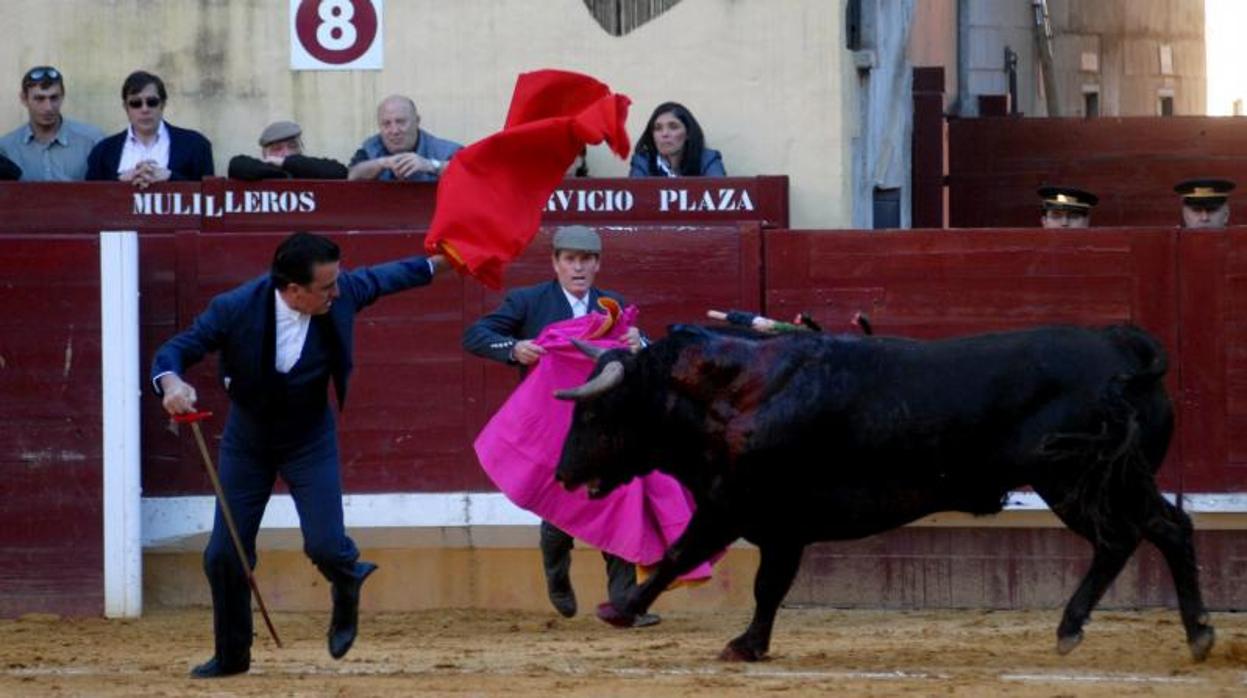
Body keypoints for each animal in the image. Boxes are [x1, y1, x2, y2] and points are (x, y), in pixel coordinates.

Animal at [551, 324, 1212, 663]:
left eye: (596, 412)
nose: (561, 476)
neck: (735, 393)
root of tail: (1123, 346)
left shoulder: (746, 512)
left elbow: (689, 560)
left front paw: (629, 611)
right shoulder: (765, 522)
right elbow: (751, 581)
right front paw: (746, 642)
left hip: (1081, 480)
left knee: (1134, 536)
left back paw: (1101, 630)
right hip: (1114, 480)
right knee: (1156, 533)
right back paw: (1181, 633)